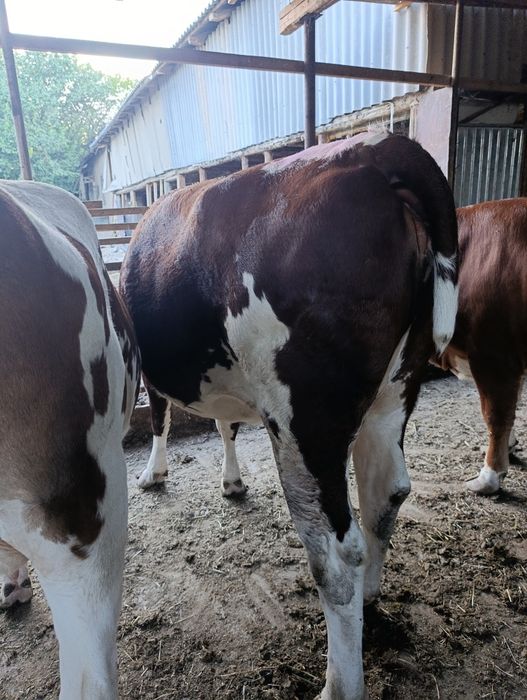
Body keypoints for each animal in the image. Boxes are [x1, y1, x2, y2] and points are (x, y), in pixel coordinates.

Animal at [120, 132, 458, 700]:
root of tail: (375, 148)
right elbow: (224, 423)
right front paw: (232, 481)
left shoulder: (155, 370)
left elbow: (161, 418)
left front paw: (153, 473)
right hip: (395, 388)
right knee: (385, 496)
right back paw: (370, 599)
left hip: (307, 418)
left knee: (336, 553)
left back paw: (338, 684)